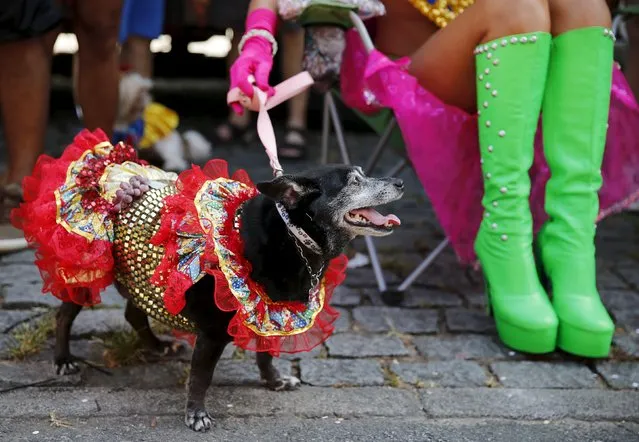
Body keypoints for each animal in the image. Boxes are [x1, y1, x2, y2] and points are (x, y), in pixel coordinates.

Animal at [55, 164, 404, 430]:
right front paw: (196, 414)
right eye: (354, 181)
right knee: (65, 315)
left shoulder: (269, 314)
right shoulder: (213, 332)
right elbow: (201, 376)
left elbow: (266, 354)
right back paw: (63, 360)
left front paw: (274, 381)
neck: (292, 237)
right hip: (87, 275)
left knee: (134, 313)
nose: (400, 181)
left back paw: (155, 345)